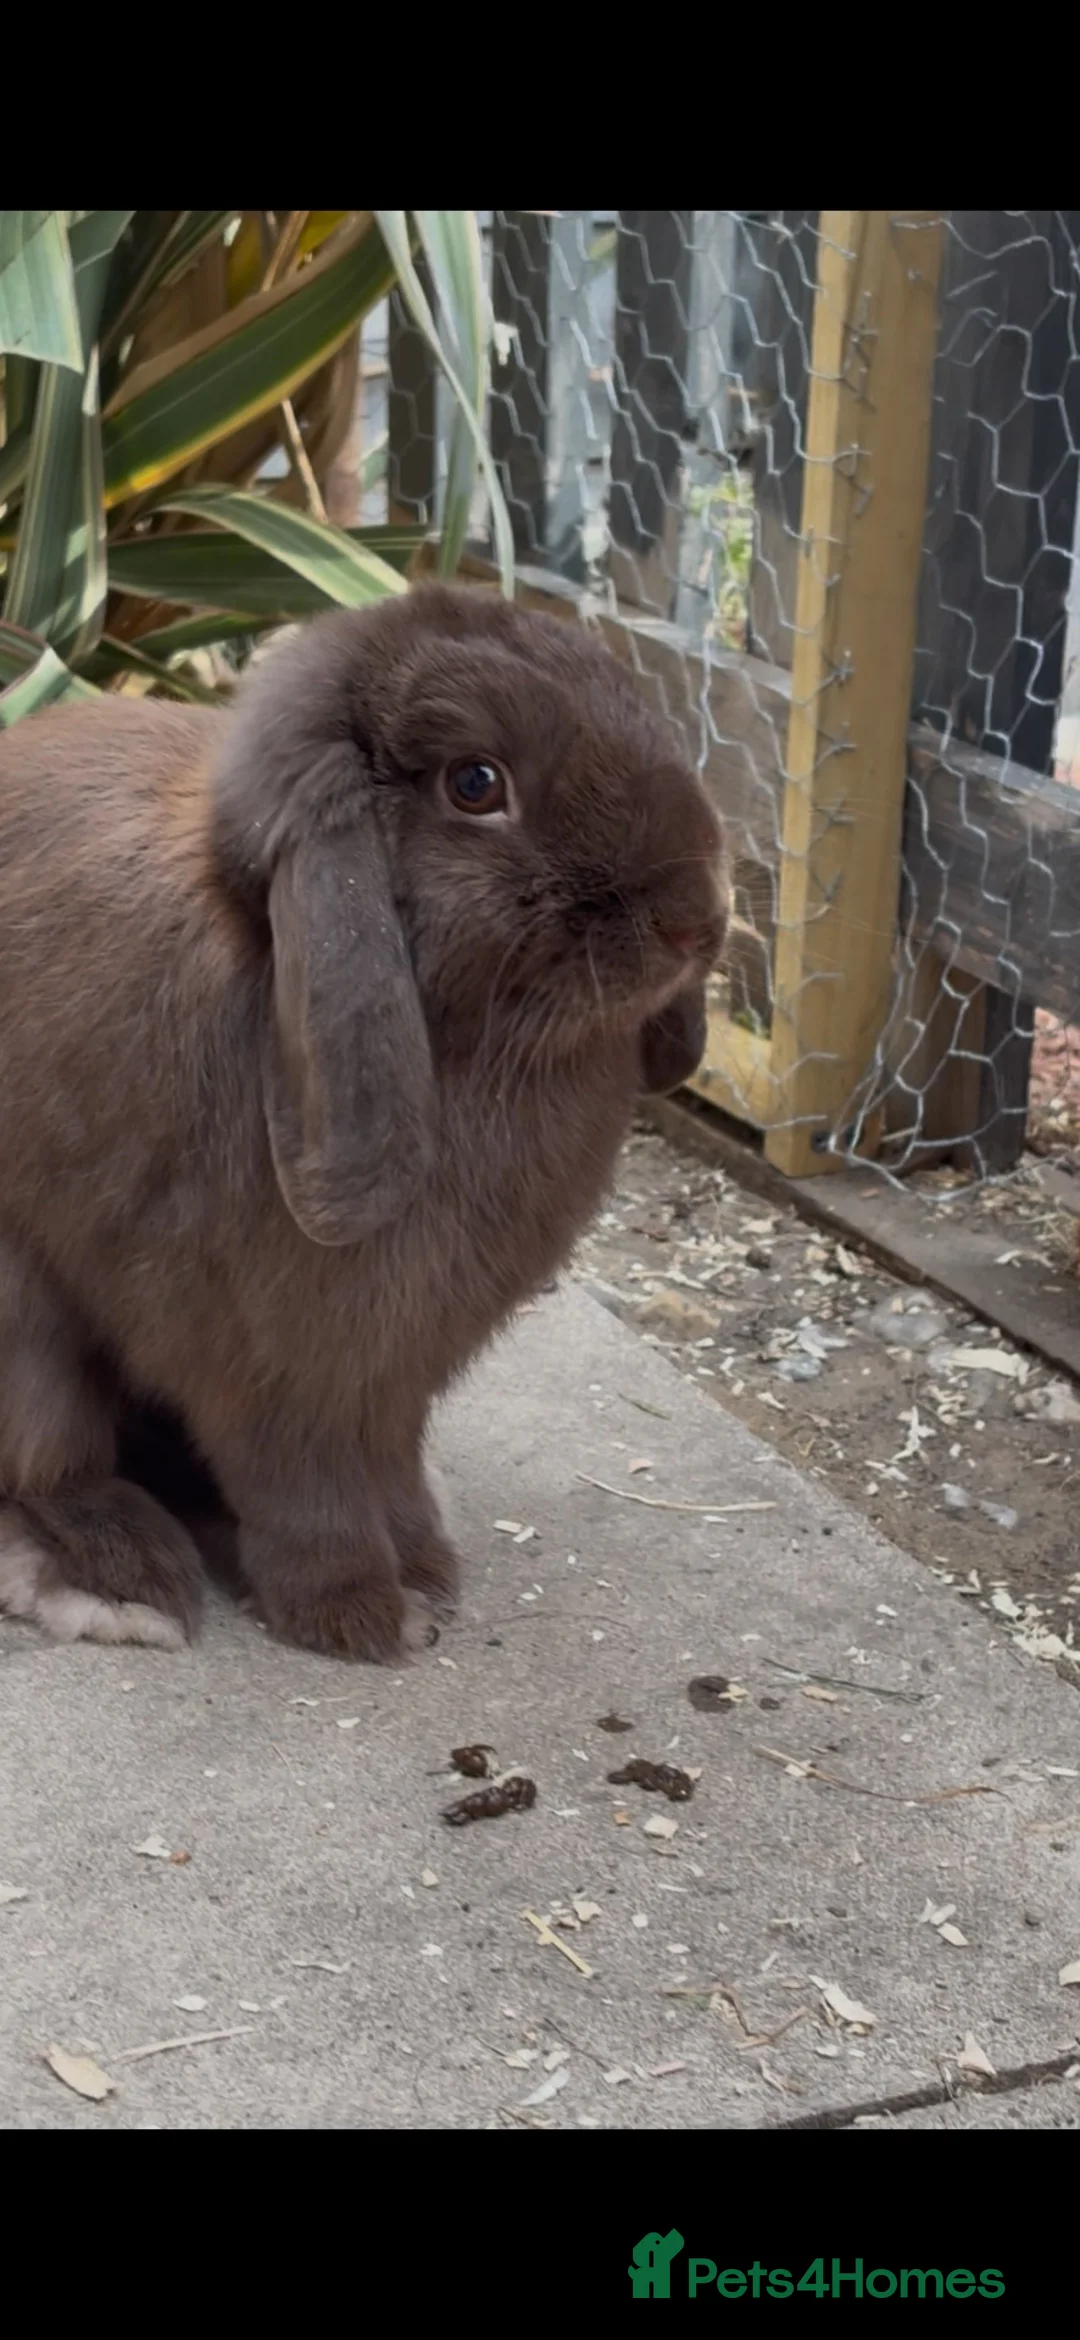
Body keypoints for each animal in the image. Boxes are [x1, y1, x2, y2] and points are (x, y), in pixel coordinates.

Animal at [0, 582, 726, 1664]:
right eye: (476, 783)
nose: (694, 920)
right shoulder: (276, 1360)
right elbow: (305, 1481)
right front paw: (355, 1613)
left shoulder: (394, 1376)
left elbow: (387, 1465)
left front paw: (425, 1574)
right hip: (23, 1327)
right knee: (48, 1462)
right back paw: (122, 1579)